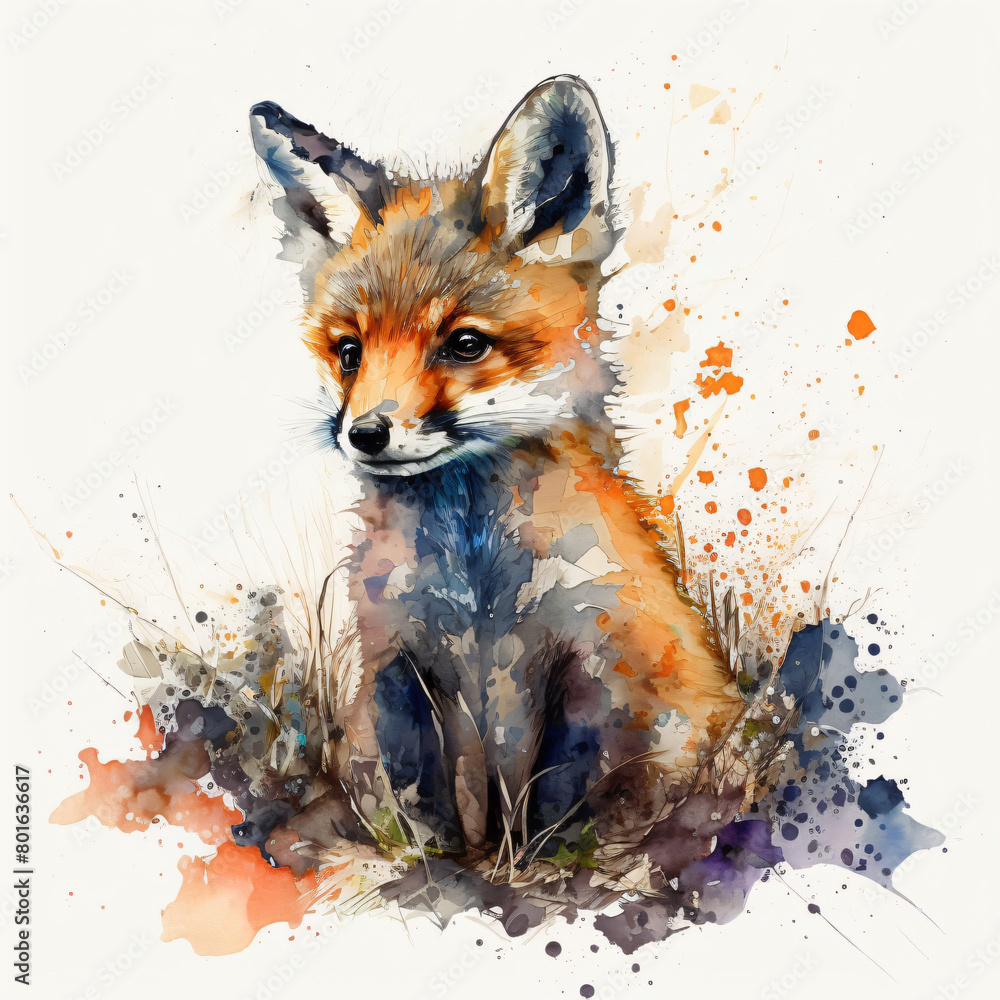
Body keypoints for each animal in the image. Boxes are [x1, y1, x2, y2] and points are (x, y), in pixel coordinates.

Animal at [247, 77, 767, 903]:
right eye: (349, 351)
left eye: (464, 344)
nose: (367, 432)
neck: (478, 586)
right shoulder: (397, 659)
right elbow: (421, 796)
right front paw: (435, 869)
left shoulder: (597, 656)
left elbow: (562, 795)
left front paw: (537, 874)